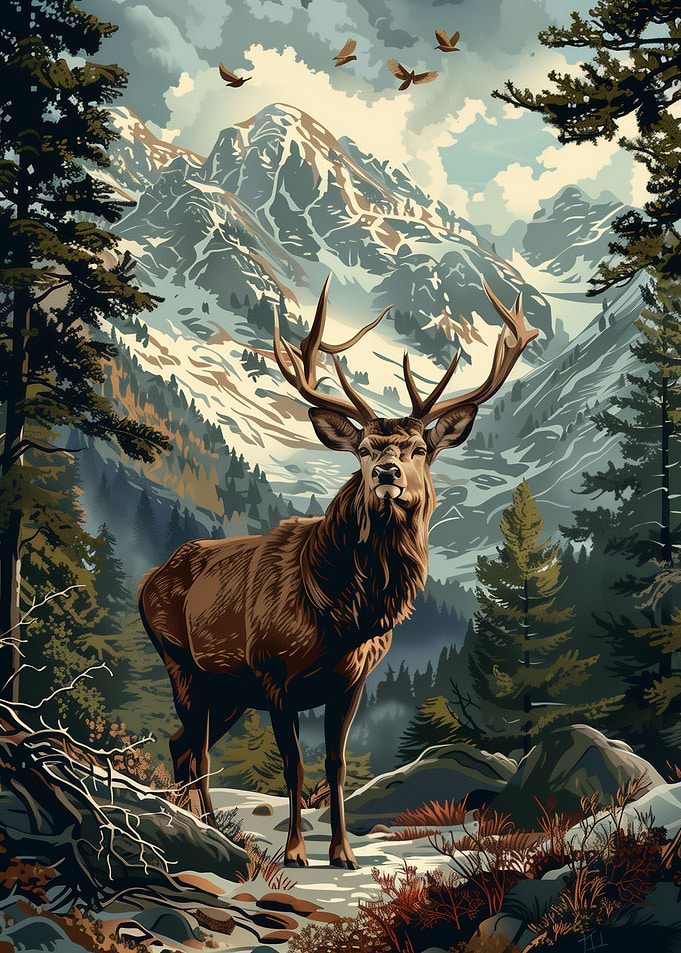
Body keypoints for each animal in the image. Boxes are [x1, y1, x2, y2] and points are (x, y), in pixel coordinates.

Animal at [138, 275, 538, 869]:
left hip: (226, 689)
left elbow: (336, 764)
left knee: (183, 744)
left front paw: (344, 853)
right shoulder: (272, 672)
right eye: (364, 450)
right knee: (195, 749)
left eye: (420, 448)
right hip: (181, 661)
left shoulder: (351, 681)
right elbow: (294, 765)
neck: (341, 613)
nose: (387, 473)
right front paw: (296, 853)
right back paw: (210, 825)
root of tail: (148, 580)